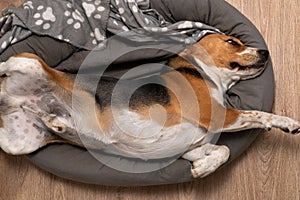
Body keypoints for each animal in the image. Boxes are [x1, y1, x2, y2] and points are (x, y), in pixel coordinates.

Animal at [0, 33, 298, 177]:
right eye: (232, 42)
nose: (264, 52)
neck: (204, 72)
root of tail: (9, 98)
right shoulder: (219, 115)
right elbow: (259, 114)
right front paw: (288, 123)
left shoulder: (193, 147)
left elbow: (222, 150)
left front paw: (203, 168)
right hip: (28, 61)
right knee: (5, 63)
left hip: (17, 143)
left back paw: (57, 122)